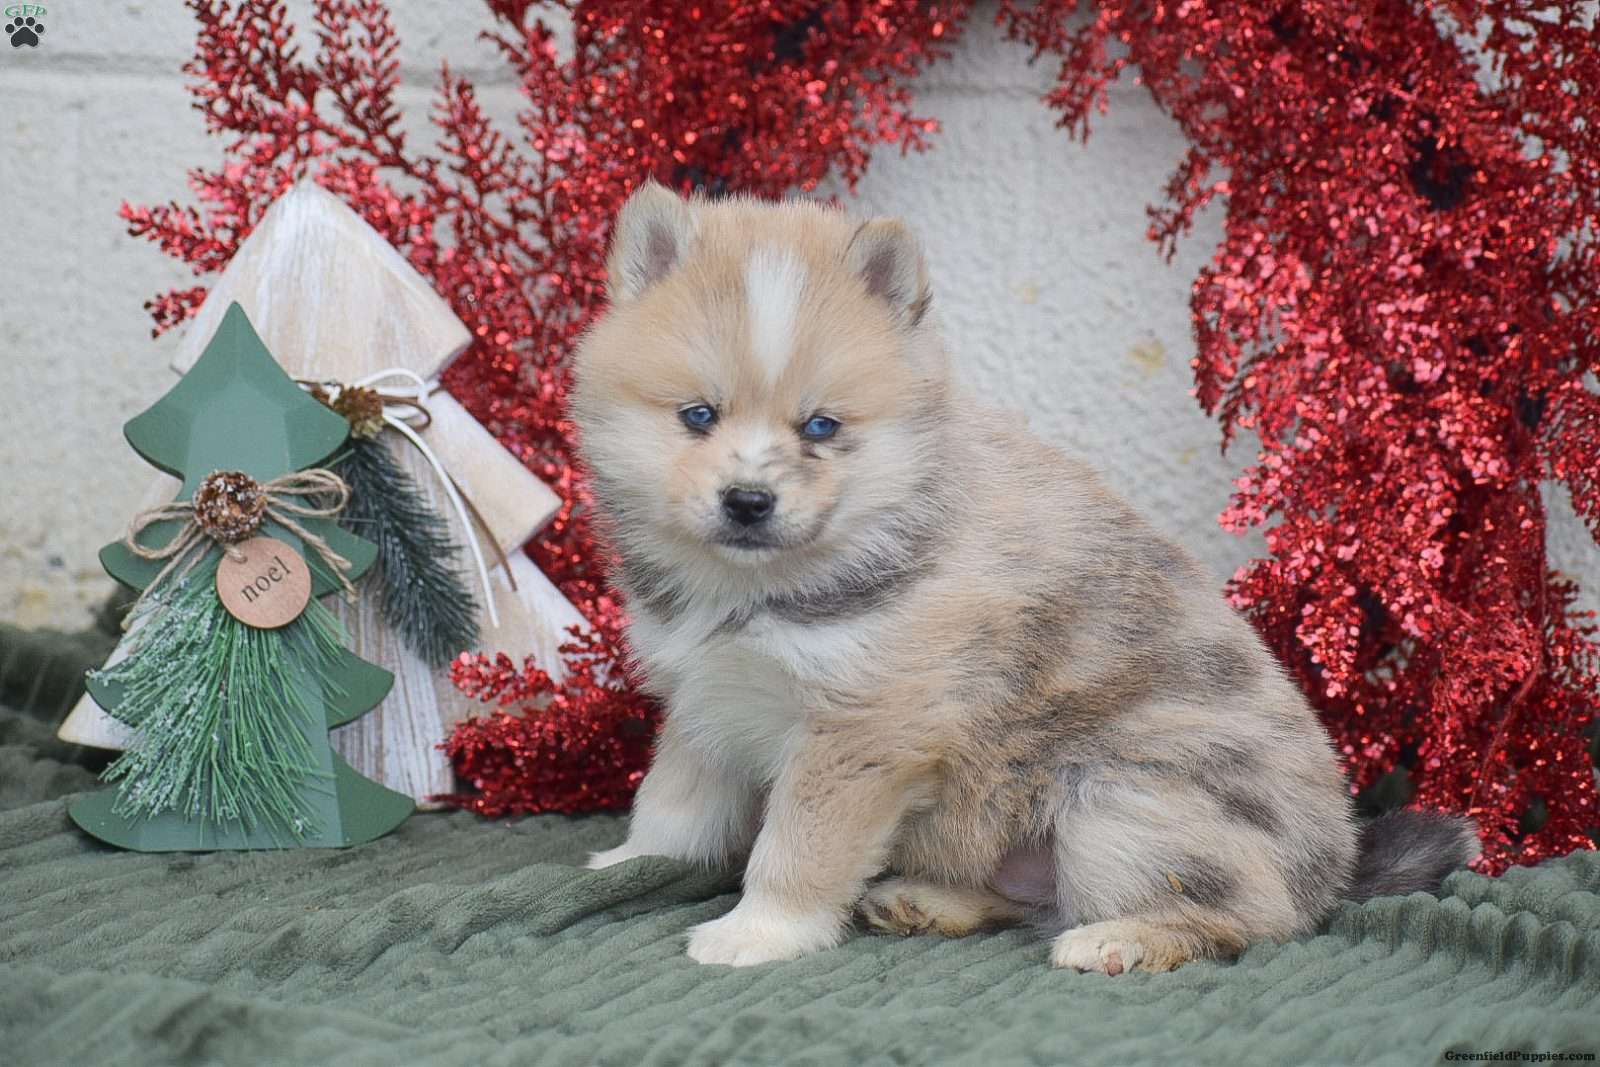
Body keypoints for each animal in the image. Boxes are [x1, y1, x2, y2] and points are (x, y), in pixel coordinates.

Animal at [572, 182, 1478, 972]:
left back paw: (1121, 940)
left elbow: (796, 846)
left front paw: (760, 929)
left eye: (821, 427)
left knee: (1243, 916)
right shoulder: (706, 697)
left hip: (1119, 805)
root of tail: (1335, 872)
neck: (753, 587)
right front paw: (625, 861)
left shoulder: (860, 731)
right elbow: (673, 803)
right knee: (1027, 893)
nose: (749, 501)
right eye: (698, 416)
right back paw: (931, 900)